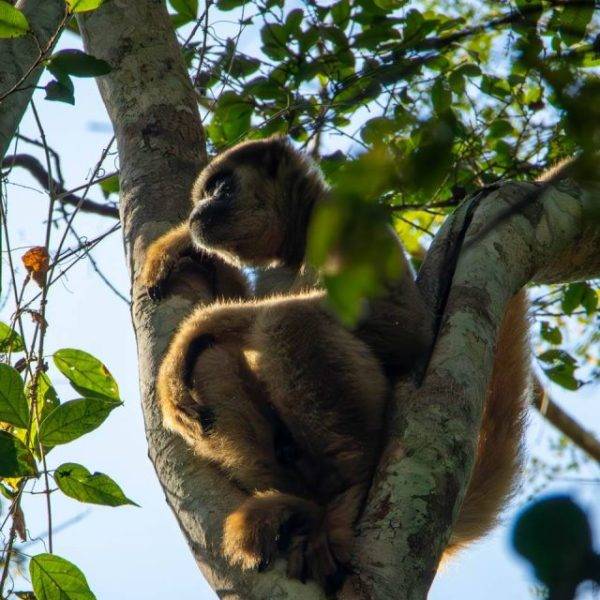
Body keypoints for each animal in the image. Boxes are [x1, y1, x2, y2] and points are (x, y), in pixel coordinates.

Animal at [141, 137, 531, 590]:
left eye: (220, 188)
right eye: (204, 194)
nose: (199, 210)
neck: (299, 243)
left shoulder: (346, 217)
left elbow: (404, 329)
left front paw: (198, 324)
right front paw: (182, 247)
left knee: (289, 320)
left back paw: (347, 494)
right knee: (211, 356)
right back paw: (299, 503)